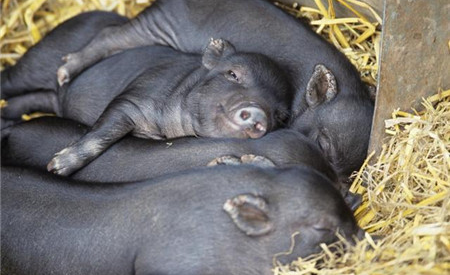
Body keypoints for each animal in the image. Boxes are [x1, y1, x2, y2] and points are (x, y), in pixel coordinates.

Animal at [0, 11, 292, 177]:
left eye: (279, 116)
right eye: (233, 74)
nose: (258, 113)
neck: (174, 125)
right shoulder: (134, 97)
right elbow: (104, 133)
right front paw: (56, 167)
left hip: (46, 97)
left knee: (23, 102)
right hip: (40, 59)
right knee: (13, 77)